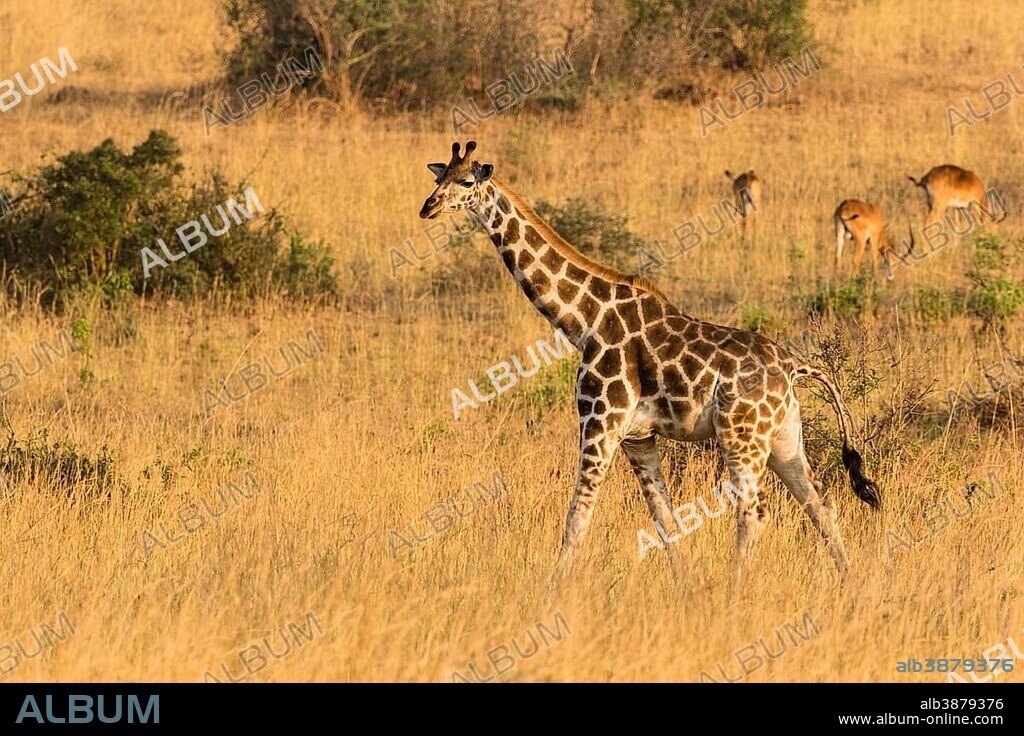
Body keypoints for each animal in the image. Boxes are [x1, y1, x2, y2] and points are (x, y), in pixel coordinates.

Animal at [420, 141, 880, 592]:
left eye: (466, 181)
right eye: (439, 178)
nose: (428, 207)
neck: (583, 321)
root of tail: (792, 364)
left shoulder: (600, 423)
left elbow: (577, 517)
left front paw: (549, 594)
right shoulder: (637, 437)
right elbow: (664, 518)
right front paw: (686, 589)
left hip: (742, 437)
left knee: (754, 511)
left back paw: (735, 592)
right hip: (783, 438)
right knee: (819, 499)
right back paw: (851, 584)